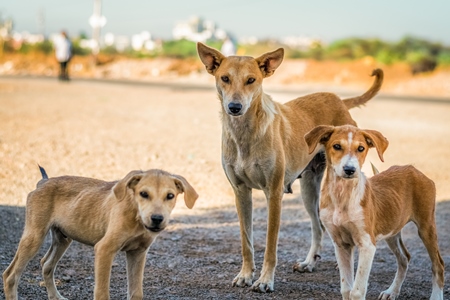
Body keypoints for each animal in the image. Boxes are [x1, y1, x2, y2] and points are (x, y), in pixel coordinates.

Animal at [2, 166, 198, 300]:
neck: (135, 216)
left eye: (170, 196)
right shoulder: (104, 249)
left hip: (62, 238)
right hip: (34, 236)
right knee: (10, 275)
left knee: (46, 264)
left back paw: (56, 297)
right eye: (143, 194)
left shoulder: (138, 253)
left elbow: (136, 293)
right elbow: (102, 293)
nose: (157, 219)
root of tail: (42, 182)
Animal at [197, 41, 384, 292]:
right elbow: (246, 242)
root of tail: (339, 100)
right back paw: (309, 263)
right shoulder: (240, 192)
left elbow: (270, 246)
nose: (234, 107)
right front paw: (245, 275)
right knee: (318, 227)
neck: (245, 133)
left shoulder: (274, 193)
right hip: (309, 190)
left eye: (251, 80)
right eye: (225, 78)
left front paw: (265, 280)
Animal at [304, 125, 444, 300]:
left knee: (438, 264)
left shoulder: (367, 244)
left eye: (361, 148)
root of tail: (413, 168)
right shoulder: (341, 244)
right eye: (336, 146)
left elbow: (356, 291)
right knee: (404, 258)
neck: (342, 196)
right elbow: (346, 289)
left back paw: (436, 295)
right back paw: (392, 291)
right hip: (392, 230)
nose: (350, 170)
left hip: (426, 227)